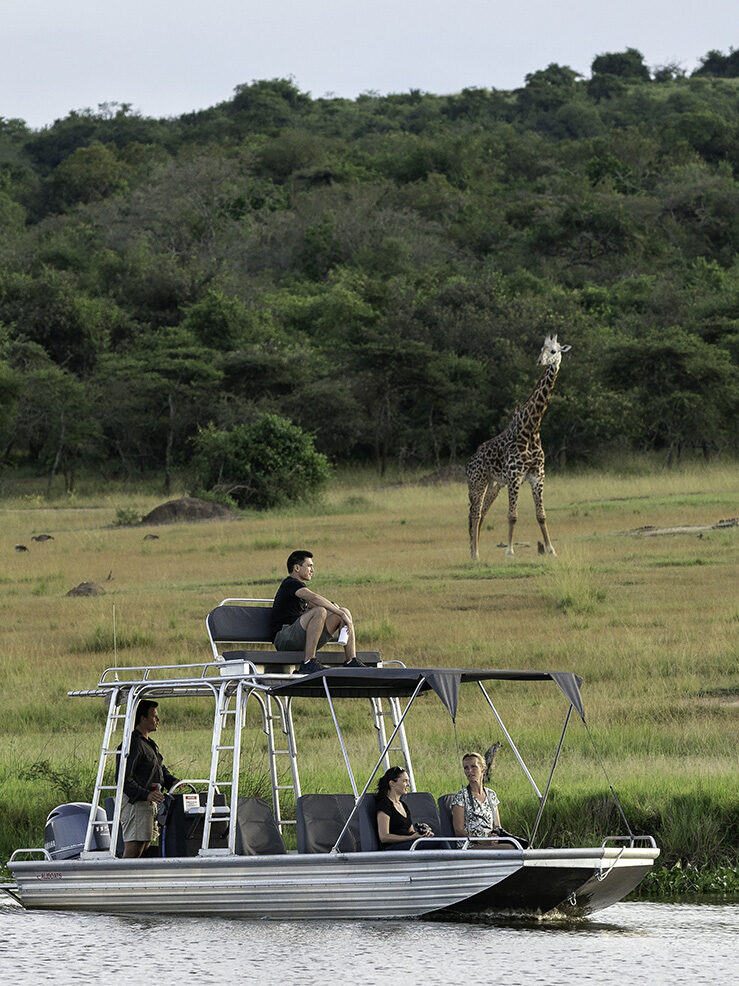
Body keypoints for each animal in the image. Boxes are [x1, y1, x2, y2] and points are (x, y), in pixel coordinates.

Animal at [467, 334, 571, 560]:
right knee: (474, 514)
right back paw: (474, 553)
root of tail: (470, 460)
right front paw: (509, 552)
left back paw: (474, 551)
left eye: (554, 351)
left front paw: (551, 549)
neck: (532, 428)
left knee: (481, 514)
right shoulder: (515, 476)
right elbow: (512, 515)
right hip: (477, 483)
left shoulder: (537, 475)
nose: (540, 362)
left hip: (494, 485)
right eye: (541, 348)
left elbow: (541, 515)